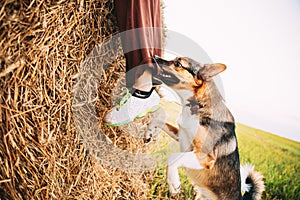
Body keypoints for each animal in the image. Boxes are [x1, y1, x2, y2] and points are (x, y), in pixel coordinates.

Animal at [109, 55, 264, 199]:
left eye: (178, 64)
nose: (154, 57)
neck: (198, 105)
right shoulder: (181, 135)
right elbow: (157, 121)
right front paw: (149, 133)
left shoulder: (205, 156)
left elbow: (173, 157)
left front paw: (173, 182)